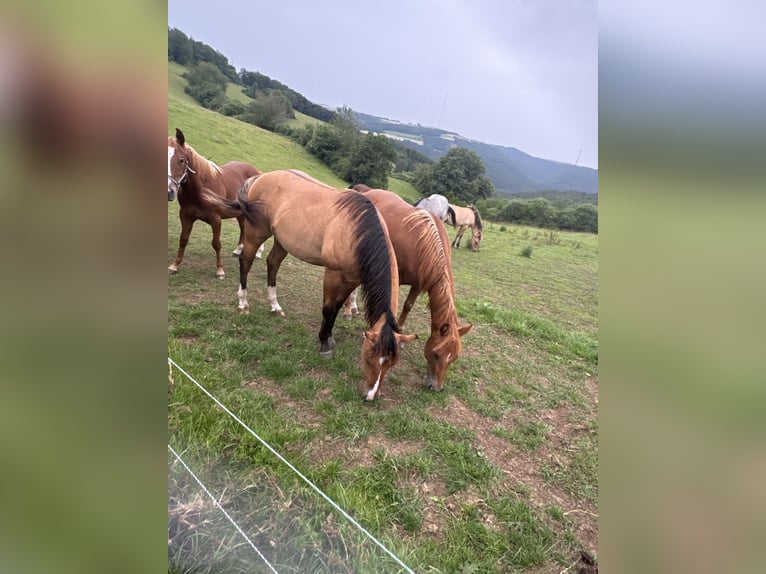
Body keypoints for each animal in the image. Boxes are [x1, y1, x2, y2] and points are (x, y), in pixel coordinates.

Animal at [168, 127, 264, 280]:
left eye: (181, 160)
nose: (169, 191)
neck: (202, 190)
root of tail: (258, 173)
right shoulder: (185, 215)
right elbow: (183, 239)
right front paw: (174, 265)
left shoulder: (216, 219)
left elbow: (216, 243)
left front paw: (220, 270)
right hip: (239, 213)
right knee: (243, 228)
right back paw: (238, 250)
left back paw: (258, 252)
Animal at [204, 168, 416, 400]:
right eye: (369, 357)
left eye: (391, 364)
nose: (370, 396)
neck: (357, 232)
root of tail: (261, 177)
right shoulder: (333, 274)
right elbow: (328, 309)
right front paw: (324, 344)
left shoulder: (352, 280)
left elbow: (337, 308)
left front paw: (330, 337)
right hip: (255, 233)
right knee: (246, 262)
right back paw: (243, 303)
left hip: (282, 240)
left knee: (273, 264)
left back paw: (275, 306)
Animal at [350, 184, 474, 392]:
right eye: (436, 354)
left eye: (454, 358)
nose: (435, 387)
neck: (425, 244)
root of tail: (369, 191)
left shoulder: (419, 284)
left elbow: (408, 305)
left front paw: (400, 334)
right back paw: (350, 307)